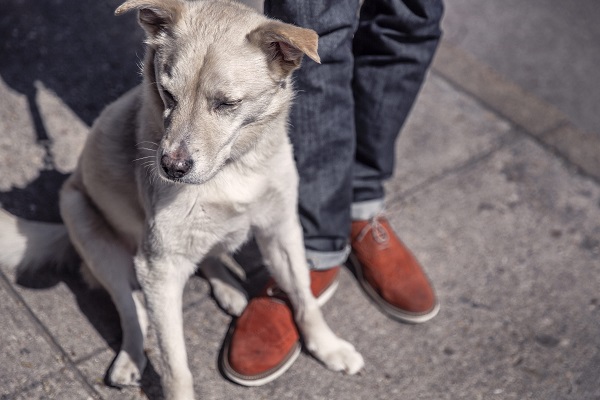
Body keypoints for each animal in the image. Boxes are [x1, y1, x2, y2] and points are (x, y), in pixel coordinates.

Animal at [0, 1, 364, 398]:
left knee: (207, 258)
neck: (232, 168)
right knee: (132, 309)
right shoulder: (159, 267)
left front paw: (327, 346)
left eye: (227, 104)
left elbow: (303, 296)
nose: (171, 168)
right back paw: (130, 357)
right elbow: (175, 364)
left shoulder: (281, 229)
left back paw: (228, 288)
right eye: (167, 94)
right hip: (87, 225)